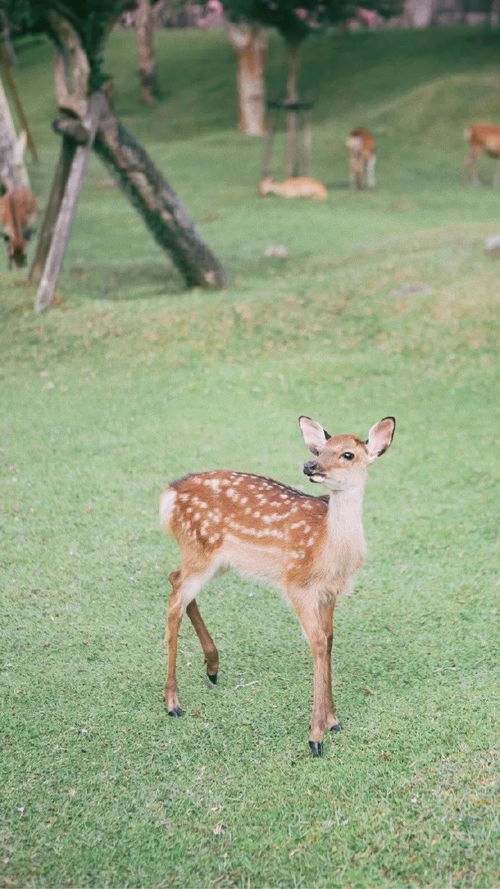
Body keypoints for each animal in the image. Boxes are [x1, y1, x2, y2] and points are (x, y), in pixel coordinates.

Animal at [160, 412, 394, 752]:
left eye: (348, 454)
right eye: (318, 450)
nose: (309, 466)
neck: (328, 550)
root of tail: (171, 492)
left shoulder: (330, 592)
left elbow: (329, 640)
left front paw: (333, 721)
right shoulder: (297, 584)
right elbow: (317, 642)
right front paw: (316, 736)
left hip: (213, 559)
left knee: (174, 580)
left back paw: (213, 668)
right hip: (199, 550)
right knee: (174, 601)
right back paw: (172, 702)